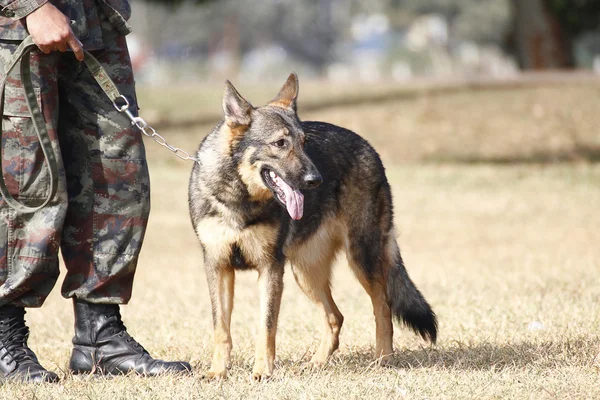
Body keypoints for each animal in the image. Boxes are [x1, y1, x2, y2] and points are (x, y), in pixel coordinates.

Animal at [188, 72, 436, 382]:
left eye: (304, 142)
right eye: (280, 143)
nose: (315, 180)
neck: (240, 198)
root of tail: (368, 147)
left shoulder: (270, 269)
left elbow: (266, 328)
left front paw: (262, 371)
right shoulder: (218, 267)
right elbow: (221, 329)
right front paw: (217, 372)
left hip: (359, 258)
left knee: (383, 306)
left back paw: (383, 359)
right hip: (305, 273)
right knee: (336, 317)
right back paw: (316, 363)